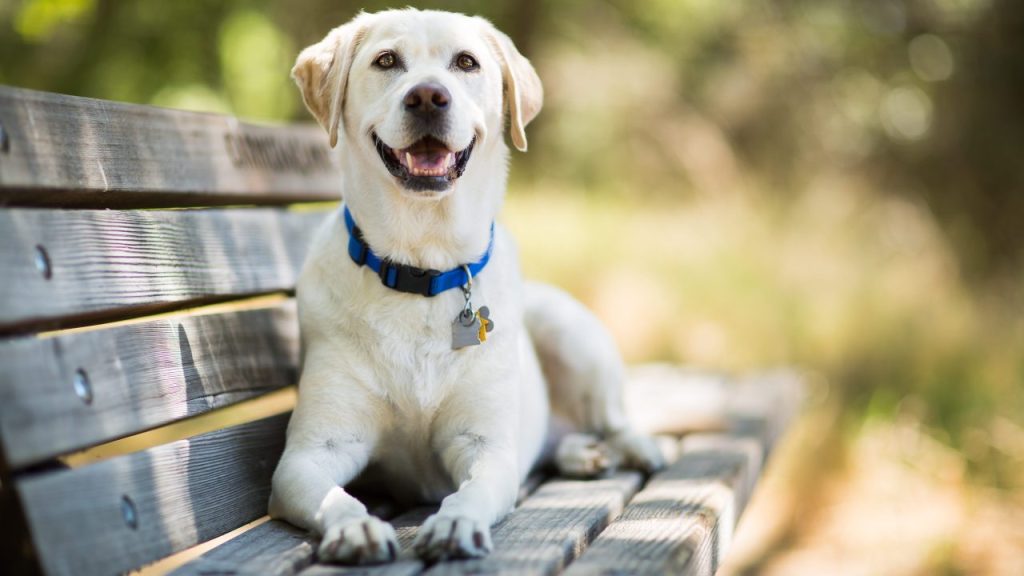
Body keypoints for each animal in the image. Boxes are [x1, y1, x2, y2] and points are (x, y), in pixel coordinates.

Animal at [268, 8, 663, 561]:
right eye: (386, 60)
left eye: (466, 62)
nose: (428, 96)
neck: (422, 268)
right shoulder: (308, 455)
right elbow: (334, 496)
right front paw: (356, 527)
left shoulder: (486, 447)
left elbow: (472, 490)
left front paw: (455, 523)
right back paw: (578, 453)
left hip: (570, 331)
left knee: (612, 417)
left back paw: (635, 448)